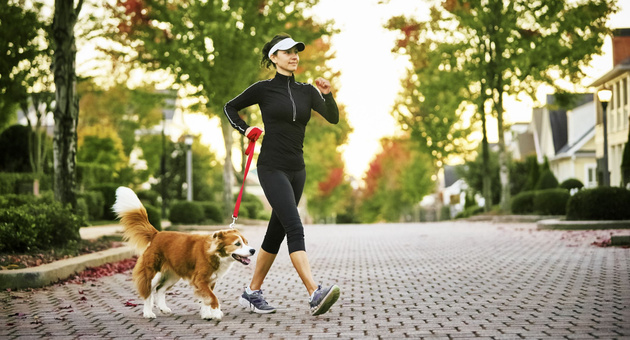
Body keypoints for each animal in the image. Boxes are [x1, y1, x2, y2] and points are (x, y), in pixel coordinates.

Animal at [113, 187, 254, 320]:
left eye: (246, 242)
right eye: (237, 244)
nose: (253, 250)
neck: (216, 254)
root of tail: (157, 234)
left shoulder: (210, 281)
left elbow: (206, 299)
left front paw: (207, 314)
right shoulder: (200, 280)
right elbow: (212, 298)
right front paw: (216, 312)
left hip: (172, 275)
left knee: (160, 289)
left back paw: (163, 308)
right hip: (153, 273)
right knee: (148, 292)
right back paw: (148, 313)